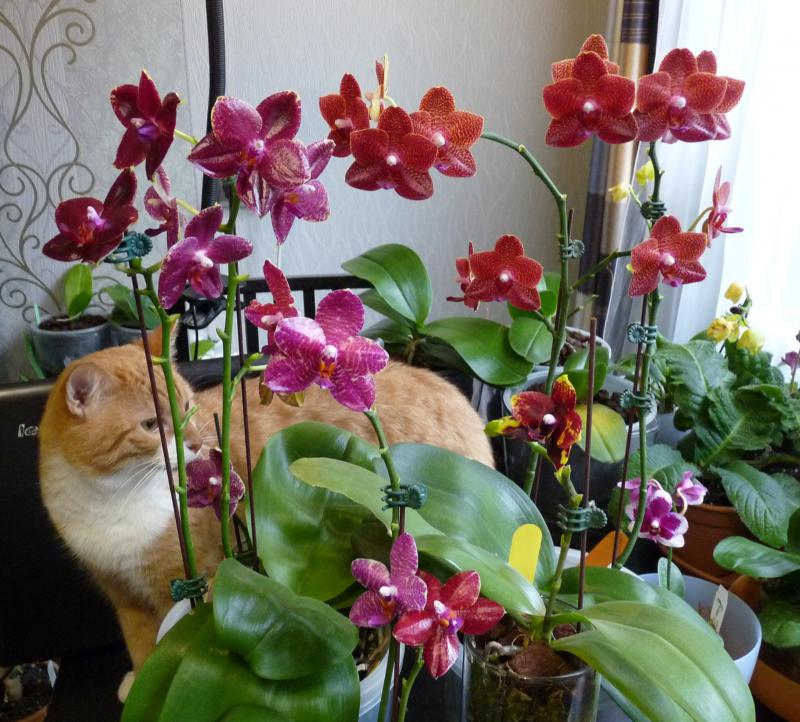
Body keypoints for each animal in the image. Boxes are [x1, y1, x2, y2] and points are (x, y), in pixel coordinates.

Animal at [38, 330, 494, 697]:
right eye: (151, 424)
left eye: (187, 408)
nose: (195, 444)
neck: (110, 498)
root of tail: (463, 404)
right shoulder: (123, 596)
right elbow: (139, 645)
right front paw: (140, 679)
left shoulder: (184, 580)